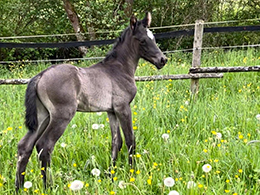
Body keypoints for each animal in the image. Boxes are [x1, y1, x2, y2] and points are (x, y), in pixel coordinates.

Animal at [15, 11, 167, 190]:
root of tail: (41, 75)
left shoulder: (111, 111)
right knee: (44, 145)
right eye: (142, 40)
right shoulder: (123, 108)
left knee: (25, 146)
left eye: (154, 38)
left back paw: (19, 187)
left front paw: (110, 175)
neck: (119, 69)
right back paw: (49, 187)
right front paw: (132, 175)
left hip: (43, 116)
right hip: (61, 116)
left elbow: (116, 142)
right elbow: (130, 140)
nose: (162, 60)